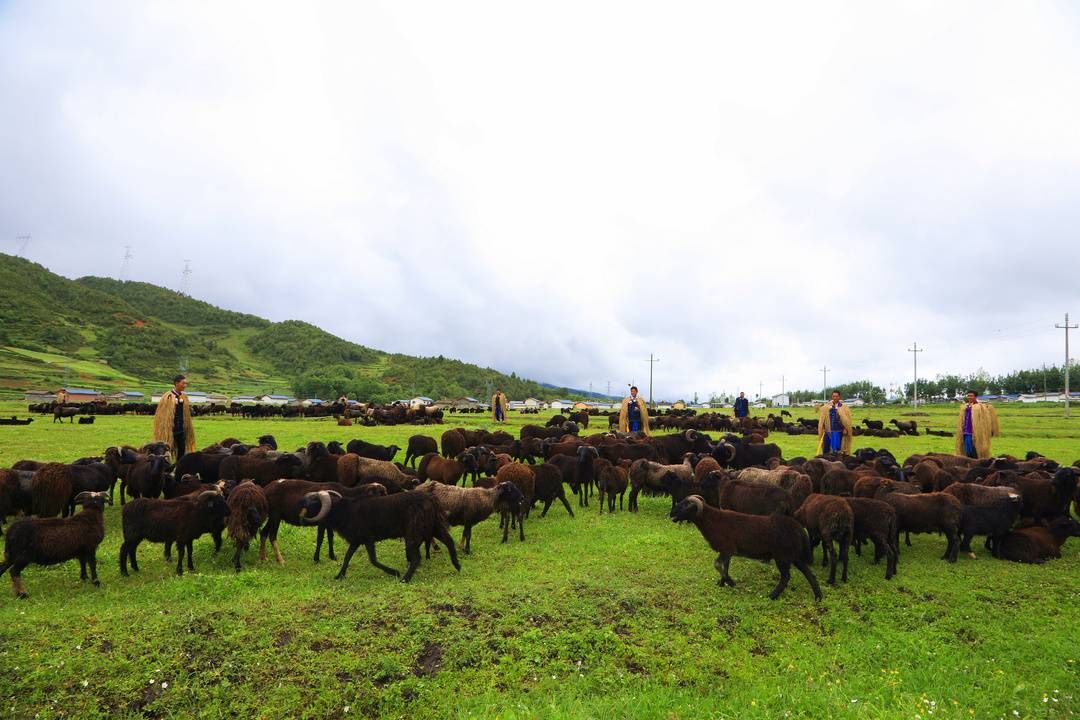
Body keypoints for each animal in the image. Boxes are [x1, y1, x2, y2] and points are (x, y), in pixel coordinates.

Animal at [298, 487, 462, 582]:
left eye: (314, 499)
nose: (299, 501)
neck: (344, 512)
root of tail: (431, 499)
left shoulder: (367, 538)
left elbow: (373, 560)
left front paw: (394, 572)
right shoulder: (356, 540)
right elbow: (347, 557)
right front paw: (340, 576)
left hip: (414, 531)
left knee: (416, 558)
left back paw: (404, 579)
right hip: (432, 526)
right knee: (449, 541)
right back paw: (457, 565)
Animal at [665, 496, 816, 604]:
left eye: (685, 505)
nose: (671, 513)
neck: (712, 520)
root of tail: (800, 529)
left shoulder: (726, 548)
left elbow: (717, 565)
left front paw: (730, 582)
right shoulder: (728, 552)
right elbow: (725, 566)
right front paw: (722, 583)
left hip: (782, 556)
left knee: (786, 577)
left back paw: (772, 596)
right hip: (793, 556)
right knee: (809, 574)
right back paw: (818, 596)